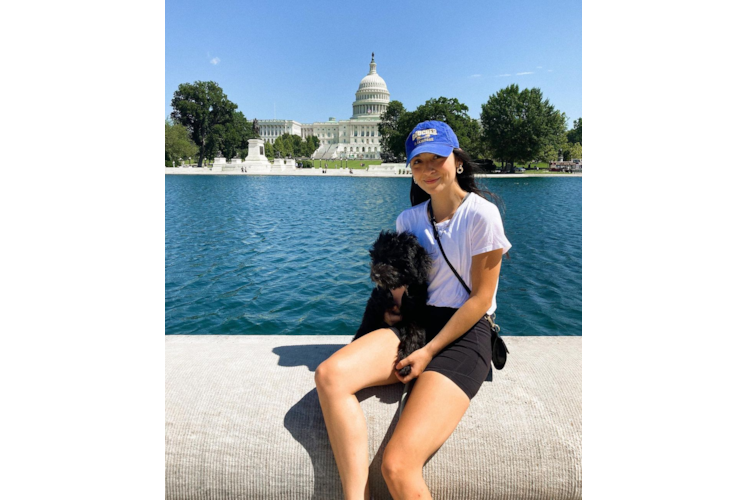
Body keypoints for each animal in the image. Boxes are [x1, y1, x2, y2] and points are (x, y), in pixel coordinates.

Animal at [352, 230, 432, 376]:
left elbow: (414, 335)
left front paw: (406, 362)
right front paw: (357, 339)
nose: (375, 274)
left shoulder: (416, 314)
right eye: (376, 257)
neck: (397, 288)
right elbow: (366, 324)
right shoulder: (375, 304)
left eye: (392, 260)